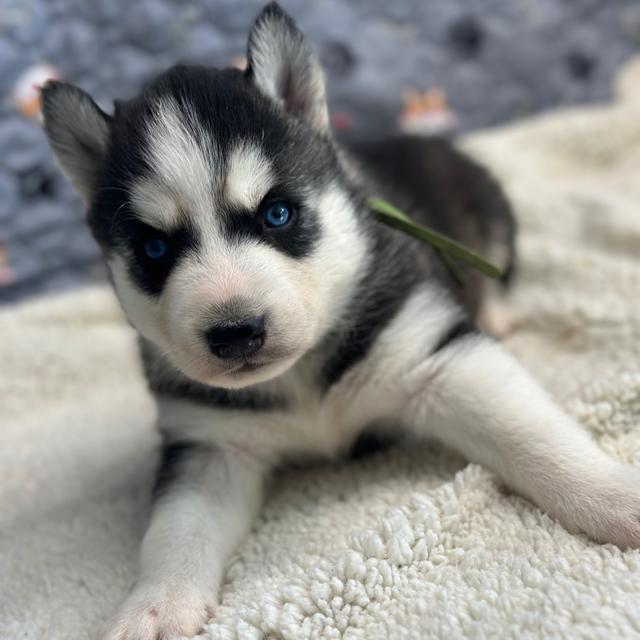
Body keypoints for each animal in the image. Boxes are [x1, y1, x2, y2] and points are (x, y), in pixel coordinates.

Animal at [42, 2, 640, 636]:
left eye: (278, 214)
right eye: (155, 250)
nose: (235, 332)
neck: (300, 380)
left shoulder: (435, 354)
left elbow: (535, 433)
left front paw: (612, 494)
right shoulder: (211, 440)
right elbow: (175, 531)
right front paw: (155, 607)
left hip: (490, 210)